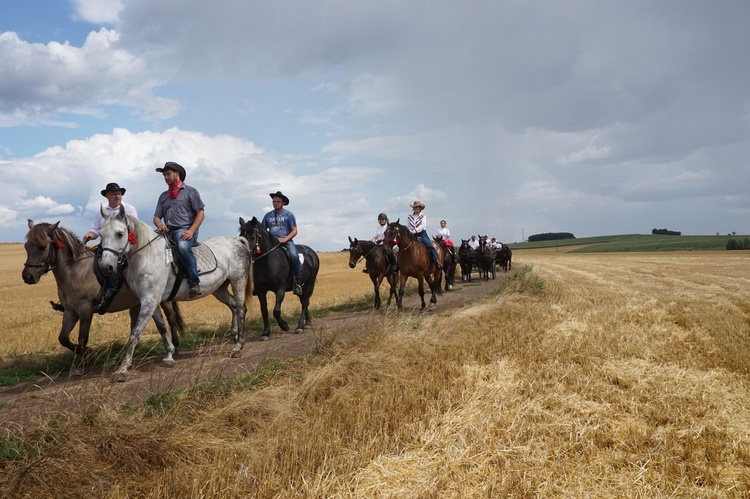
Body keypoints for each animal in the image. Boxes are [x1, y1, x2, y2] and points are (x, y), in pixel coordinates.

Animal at [21, 219, 186, 372]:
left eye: (42, 246)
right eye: (26, 246)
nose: (28, 277)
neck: (75, 271)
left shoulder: (85, 310)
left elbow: (82, 338)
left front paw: (86, 359)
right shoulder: (70, 312)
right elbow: (63, 338)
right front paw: (86, 355)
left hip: (161, 299)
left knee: (171, 318)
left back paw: (175, 347)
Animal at [97, 207, 253, 378]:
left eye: (119, 234)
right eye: (101, 234)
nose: (105, 267)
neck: (148, 255)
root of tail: (235, 240)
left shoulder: (149, 301)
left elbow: (135, 333)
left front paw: (123, 368)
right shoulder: (153, 301)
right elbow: (162, 328)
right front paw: (169, 355)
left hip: (238, 281)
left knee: (240, 308)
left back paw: (237, 347)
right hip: (220, 289)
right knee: (234, 306)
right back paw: (237, 338)